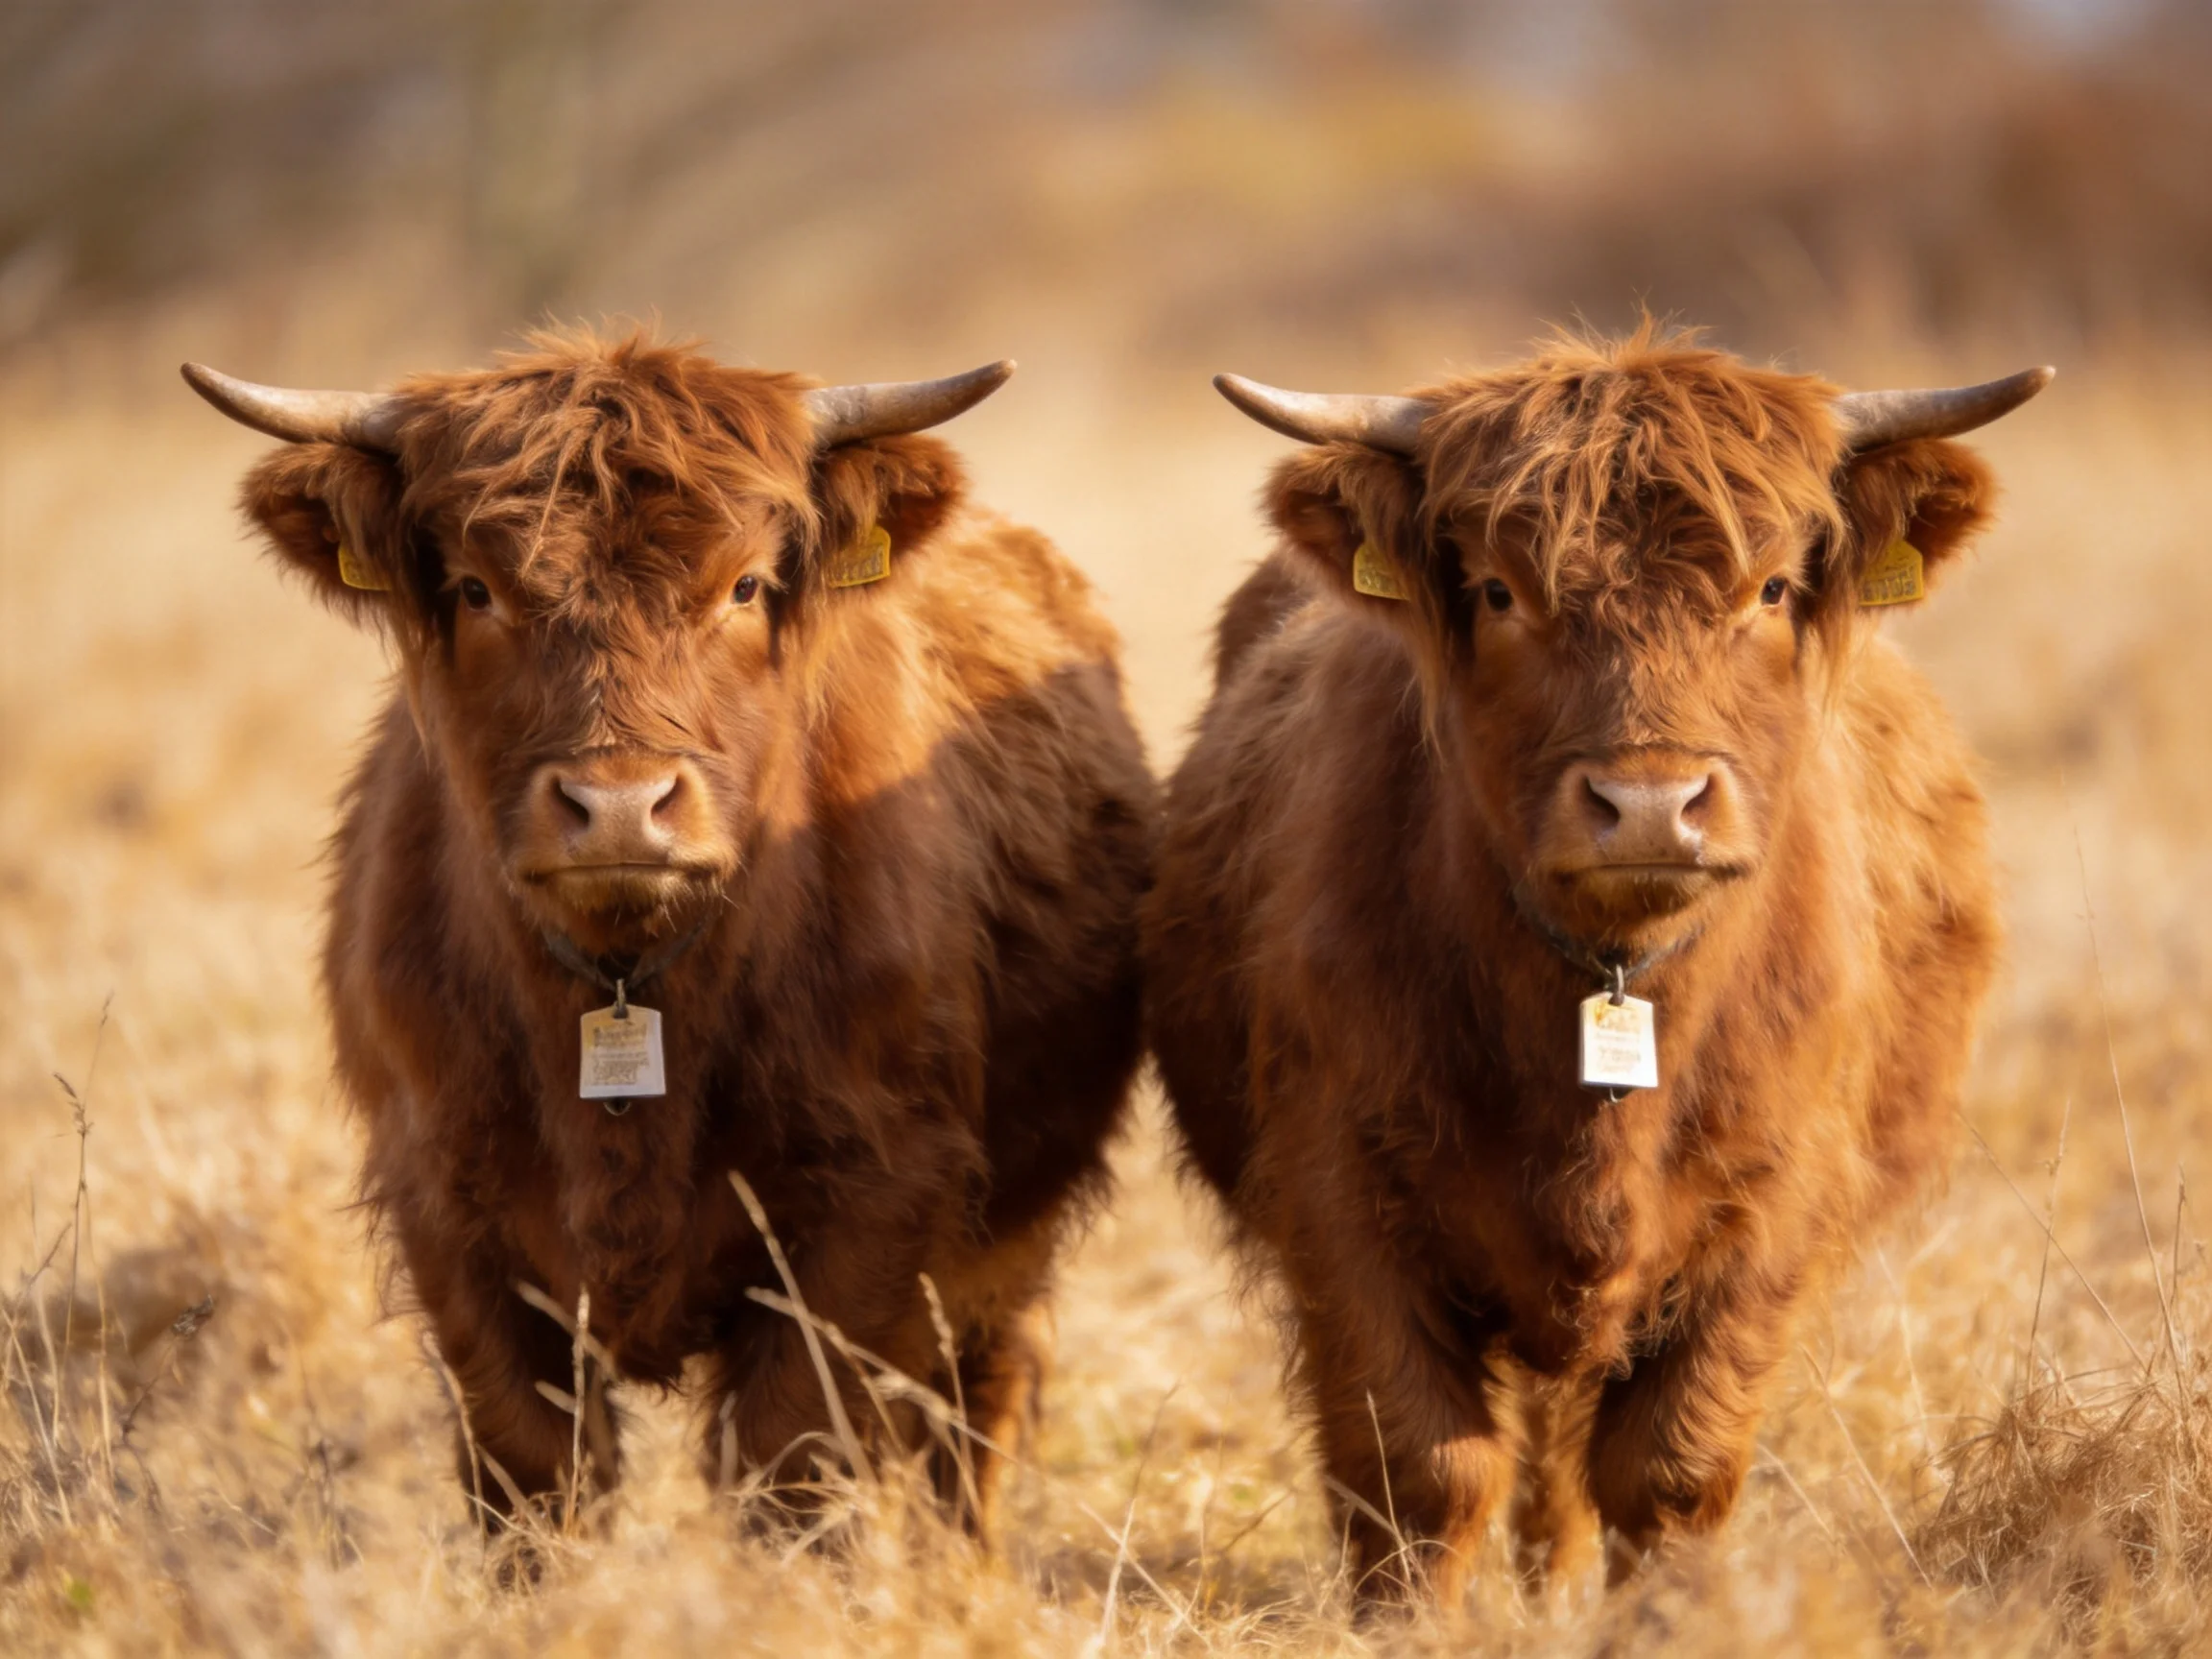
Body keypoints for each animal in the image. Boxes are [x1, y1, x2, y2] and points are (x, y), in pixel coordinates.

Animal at [184, 331, 1155, 1540]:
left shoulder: (876, 1201)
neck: (625, 992)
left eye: (742, 585)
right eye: (476, 587)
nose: (617, 805)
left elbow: (793, 1462)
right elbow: (533, 1471)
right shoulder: (445, 1206)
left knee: (973, 1410)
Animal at [1143, 326, 2048, 1601]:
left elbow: (1667, 1470)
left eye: (1770, 588)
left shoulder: (1772, 1202)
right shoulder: (1336, 1184)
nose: (1651, 805)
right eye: (1498, 590)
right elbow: (1421, 1466)